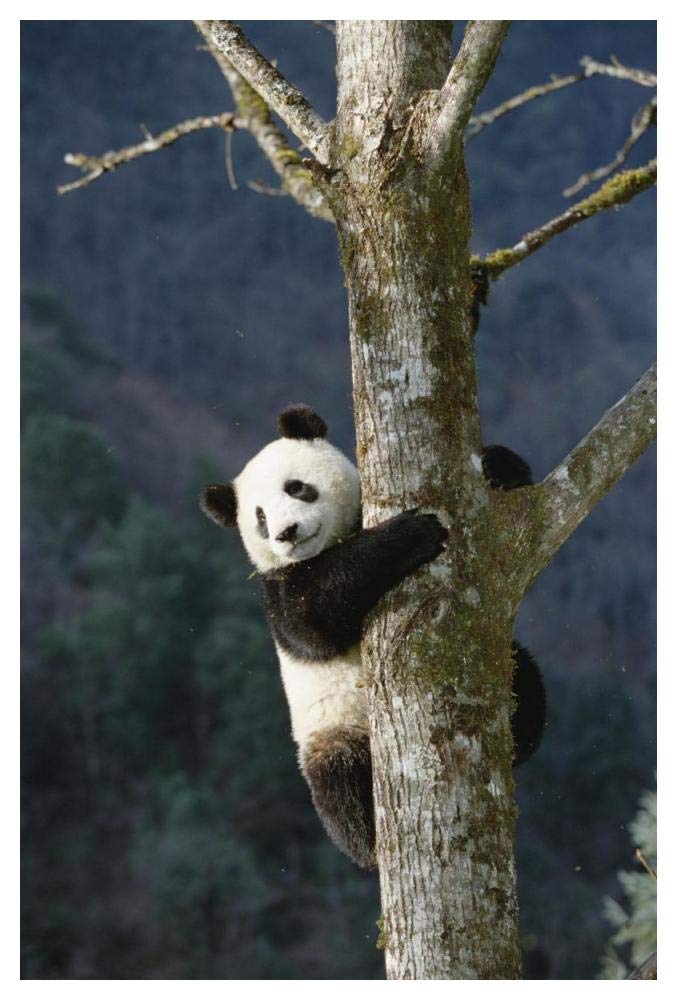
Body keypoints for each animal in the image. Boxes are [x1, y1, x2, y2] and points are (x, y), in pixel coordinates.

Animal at [201, 404, 545, 869]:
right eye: (259, 518)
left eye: (296, 487)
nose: (287, 533)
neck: (329, 543)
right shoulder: (277, 591)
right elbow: (314, 619)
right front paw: (413, 533)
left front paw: (495, 467)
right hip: (331, 729)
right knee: (338, 783)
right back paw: (369, 841)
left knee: (524, 676)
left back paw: (519, 733)